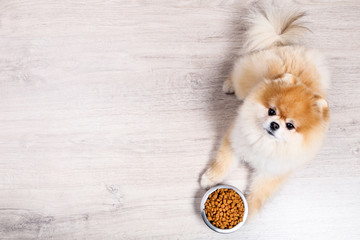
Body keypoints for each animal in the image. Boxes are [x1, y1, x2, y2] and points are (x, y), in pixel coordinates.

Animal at [201, 4, 330, 217]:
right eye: (271, 111)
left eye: (290, 125)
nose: (275, 124)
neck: (265, 143)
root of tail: (281, 44)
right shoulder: (235, 141)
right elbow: (222, 163)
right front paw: (210, 178)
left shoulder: (272, 172)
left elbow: (259, 193)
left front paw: (248, 211)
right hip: (245, 80)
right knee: (235, 74)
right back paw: (228, 85)